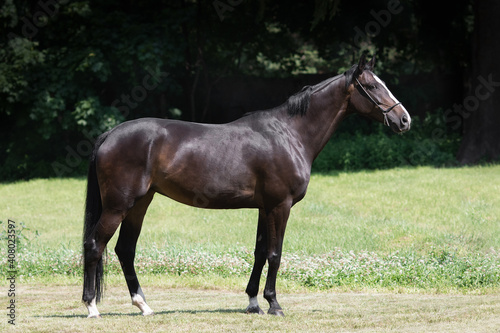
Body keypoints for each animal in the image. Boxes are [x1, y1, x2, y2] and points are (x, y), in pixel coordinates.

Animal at [81, 54, 410, 316]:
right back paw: (91, 306)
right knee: (95, 245)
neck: (289, 134)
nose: (404, 120)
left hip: (140, 203)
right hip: (118, 205)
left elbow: (260, 252)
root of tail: (109, 134)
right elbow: (275, 254)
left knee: (125, 250)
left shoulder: (264, 207)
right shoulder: (280, 206)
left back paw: (143, 305)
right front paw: (274, 304)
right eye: (372, 86)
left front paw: (253, 302)